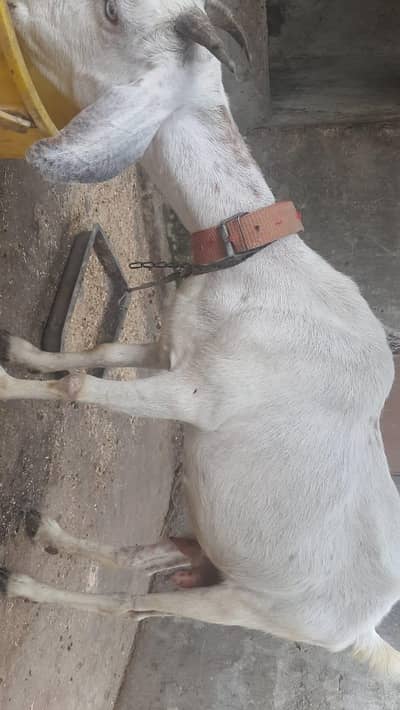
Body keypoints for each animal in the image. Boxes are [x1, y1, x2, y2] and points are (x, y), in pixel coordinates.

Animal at [2, 0, 400, 680]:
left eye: (113, 14)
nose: (22, 9)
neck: (253, 263)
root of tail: (364, 634)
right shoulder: (171, 349)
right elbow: (103, 354)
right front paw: (24, 351)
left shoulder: (199, 395)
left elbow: (80, 387)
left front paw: (5, 381)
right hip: (201, 553)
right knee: (139, 559)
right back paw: (47, 534)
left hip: (244, 605)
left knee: (132, 608)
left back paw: (25, 586)